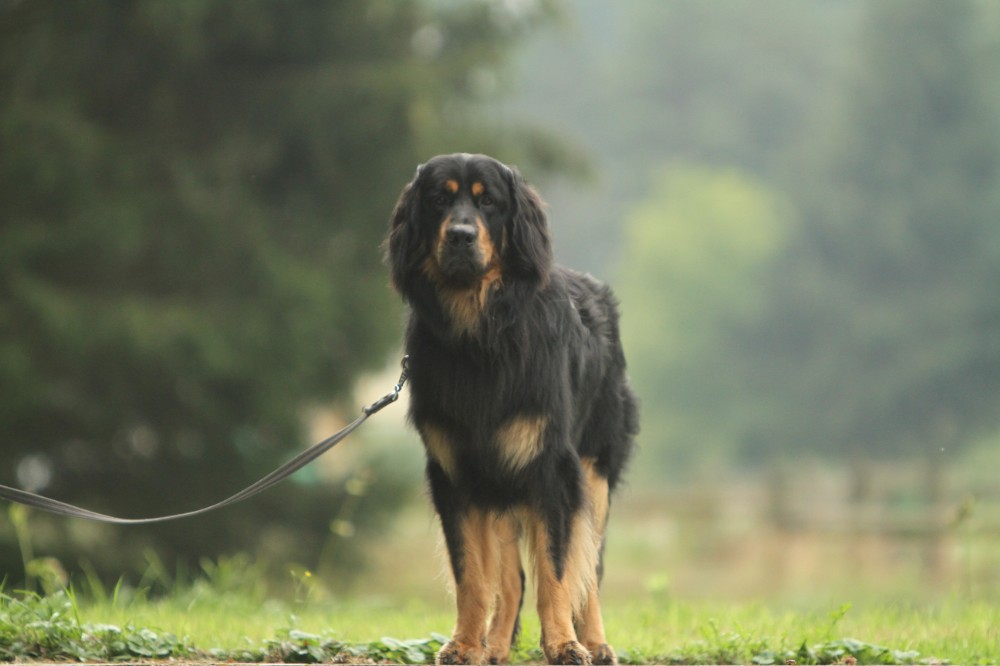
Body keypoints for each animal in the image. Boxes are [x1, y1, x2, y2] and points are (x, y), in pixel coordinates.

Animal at [385, 153, 638, 666]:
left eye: (489, 203)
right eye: (438, 199)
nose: (461, 235)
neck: (480, 335)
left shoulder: (551, 470)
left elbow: (557, 571)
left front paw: (564, 644)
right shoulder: (457, 474)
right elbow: (472, 576)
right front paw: (465, 644)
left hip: (595, 470)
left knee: (589, 567)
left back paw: (596, 641)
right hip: (498, 482)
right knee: (512, 579)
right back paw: (495, 647)